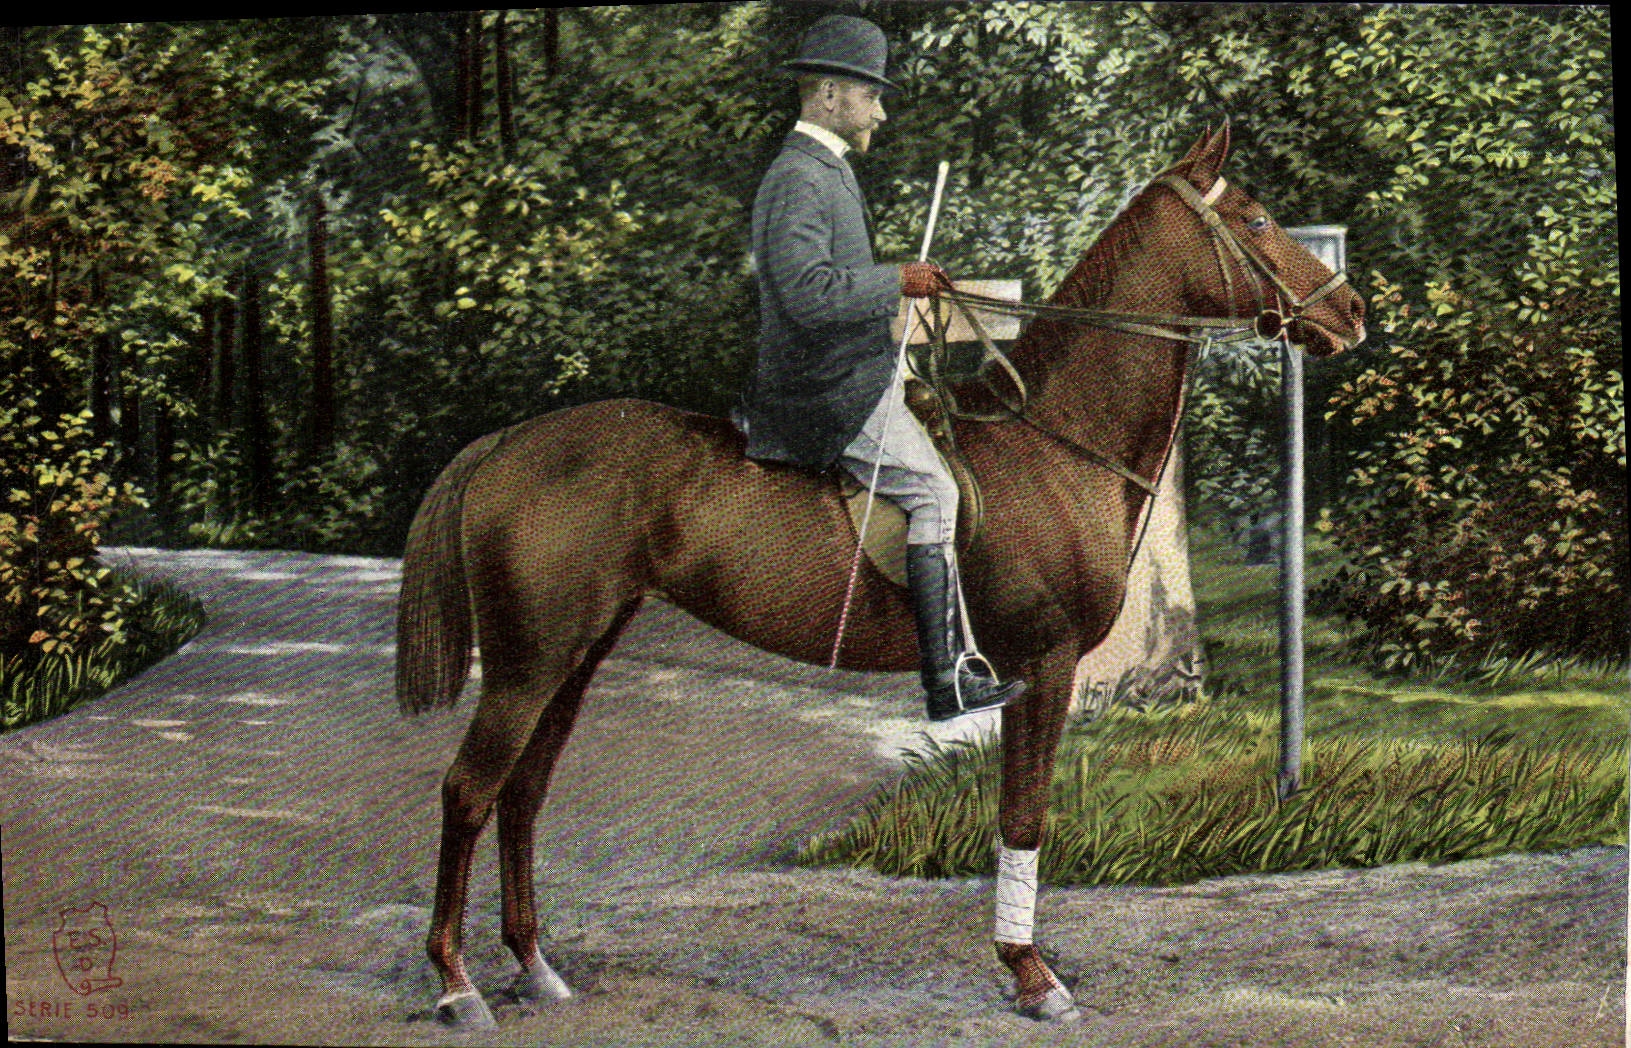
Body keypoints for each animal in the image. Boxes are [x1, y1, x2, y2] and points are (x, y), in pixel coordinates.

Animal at [393, 125, 1367, 1028]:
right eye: (1256, 219)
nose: (1352, 310)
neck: (1051, 443)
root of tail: (504, 443)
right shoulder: (1044, 666)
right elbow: (1022, 817)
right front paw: (1031, 975)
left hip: (575, 655)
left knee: (521, 794)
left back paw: (534, 967)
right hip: (527, 663)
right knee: (468, 791)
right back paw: (456, 984)